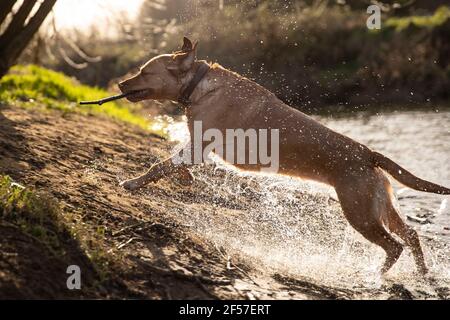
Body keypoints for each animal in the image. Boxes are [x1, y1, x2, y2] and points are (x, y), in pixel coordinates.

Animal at [118, 37, 448, 272]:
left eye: (144, 71)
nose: (120, 83)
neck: (200, 86)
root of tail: (369, 154)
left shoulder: (199, 146)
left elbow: (161, 165)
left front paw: (133, 183)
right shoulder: (196, 146)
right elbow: (171, 164)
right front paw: (184, 178)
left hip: (360, 214)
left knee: (395, 247)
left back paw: (376, 276)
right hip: (380, 208)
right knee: (412, 236)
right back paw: (422, 274)